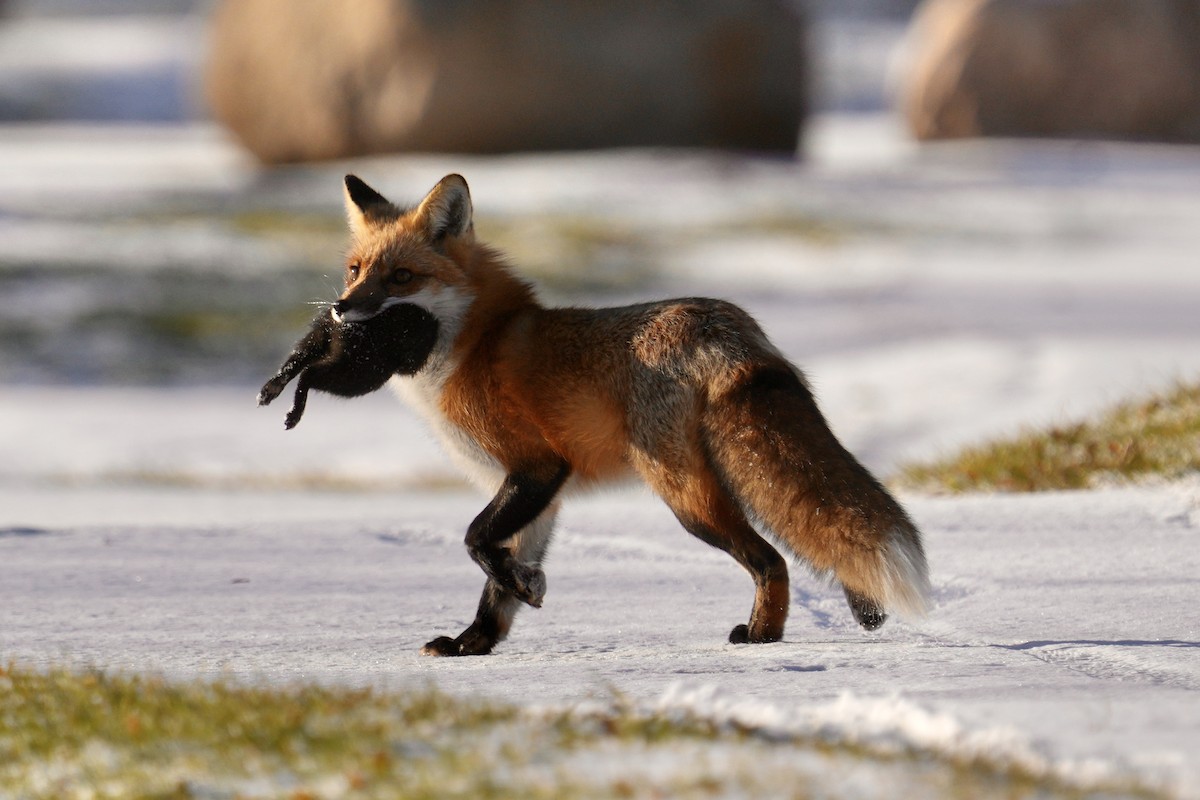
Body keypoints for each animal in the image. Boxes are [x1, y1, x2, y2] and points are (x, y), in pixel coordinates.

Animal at [279, 173, 930, 657]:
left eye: (402, 277)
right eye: (355, 271)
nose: (340, 310)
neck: (473, 344)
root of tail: (728, 327)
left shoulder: (538, 467)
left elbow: (475, 540)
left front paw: (526, 591)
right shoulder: (532, 493)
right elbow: (495, 582)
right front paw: (475, 642)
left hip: (685, 498)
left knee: (771, 561)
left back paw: (763, 637)